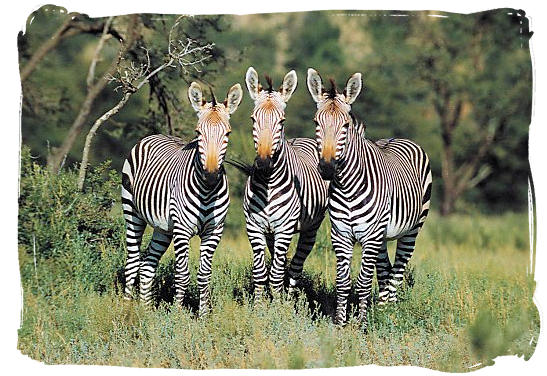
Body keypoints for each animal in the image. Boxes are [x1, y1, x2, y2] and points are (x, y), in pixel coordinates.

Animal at [121, 81, 243, 316]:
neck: (207, 191)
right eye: (198, 132)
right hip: (132, 213)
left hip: (163, 228)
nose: (211, 175)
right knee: (132, 262)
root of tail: (155, 135)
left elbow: (204, 275)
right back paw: (125, 308)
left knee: (147, 265)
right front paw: (178, 315)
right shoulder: (182, 230)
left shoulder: (214, 231)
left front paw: (203, 316)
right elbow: (182, 274)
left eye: (228, 133)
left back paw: (145, 311)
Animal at [240, 67, 330, 296]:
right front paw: (260, 303)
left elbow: (276, 275)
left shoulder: (285, 228)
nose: (263, 163)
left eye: (281, 121)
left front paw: (277, 304)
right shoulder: (254, 227)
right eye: (253, 119)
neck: (268, 184)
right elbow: (261, 273)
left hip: (310, 227)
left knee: (295, 266)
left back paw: (288, 300)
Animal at [308, 69, 432, 328]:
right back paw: (383, 310)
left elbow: (364, 282)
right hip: (382, 235)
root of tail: (397, 138)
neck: (347, 186)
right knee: (385, 270)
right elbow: (343, 281)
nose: (327, 168)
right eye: (316, 122)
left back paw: (390, 314)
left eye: (345, 125)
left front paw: (362, 323)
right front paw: (340, 322)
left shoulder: (371, 235)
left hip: (411, 230)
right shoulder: (341, 234)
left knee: (398, 270)